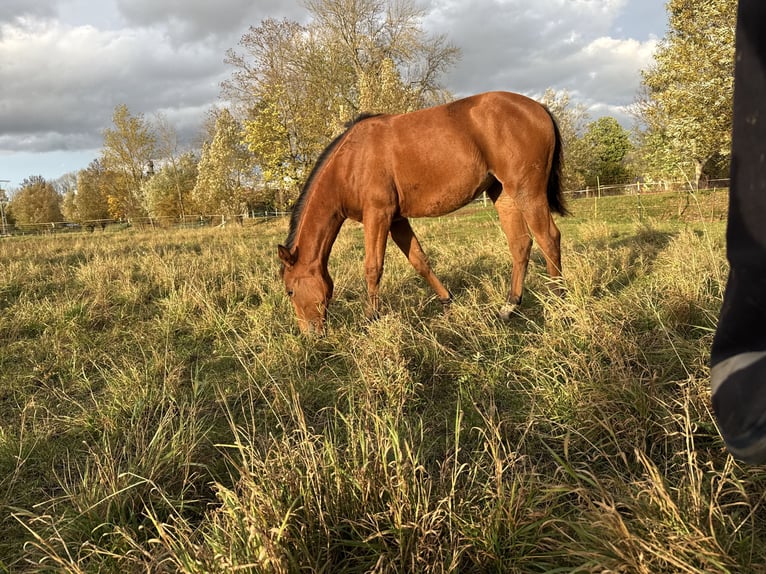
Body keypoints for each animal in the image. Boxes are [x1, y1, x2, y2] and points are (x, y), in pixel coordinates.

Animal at [278, 91, 567, 333]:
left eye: (290, 291)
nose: (310, 335)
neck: (350, 162)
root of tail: (538, 108)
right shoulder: (396, 220)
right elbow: (420, 262)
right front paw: (447, 302)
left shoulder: (378, 216)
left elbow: (372, 267)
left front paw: (371, 318)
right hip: (504, 194)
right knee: (521, 244)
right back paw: (509, 306)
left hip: (527, 191)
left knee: (548, 238)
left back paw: (559, 302)